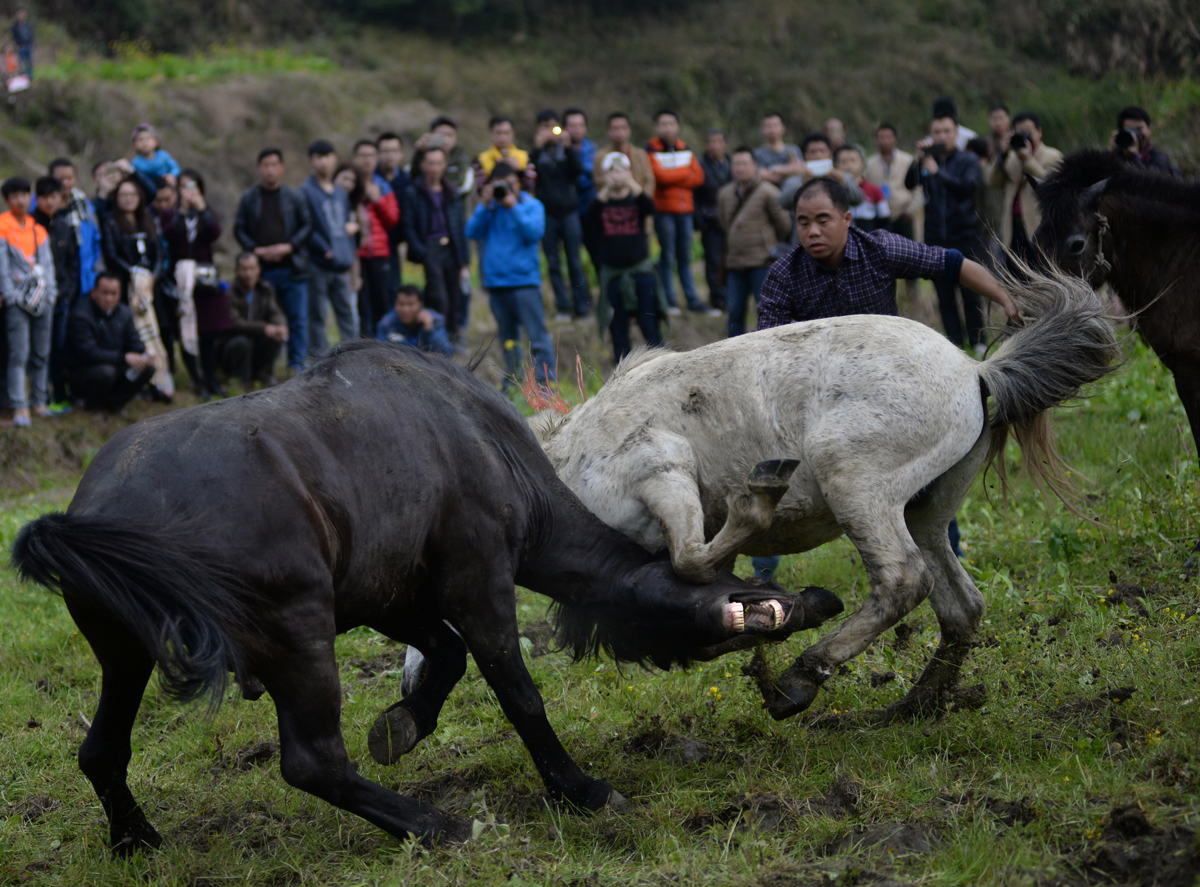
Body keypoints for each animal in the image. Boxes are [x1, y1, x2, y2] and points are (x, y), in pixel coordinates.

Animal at [9, 340, 840, 854]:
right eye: (736, 587)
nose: (815, 600)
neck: (493, 452)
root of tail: (97, 511)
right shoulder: (477, 576)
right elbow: (516, 689)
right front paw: (579, 787)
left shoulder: (389, 592)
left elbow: (442, 656)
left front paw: (404, 721)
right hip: (296, 634)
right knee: (311, 761)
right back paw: (439, 825)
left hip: (125, 654)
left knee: (100, 748)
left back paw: (133, 837)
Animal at [405, 270, 1113, 720]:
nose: (415, 674)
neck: (563, 460)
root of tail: (974, 369)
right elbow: (712, 597)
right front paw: (769, 630)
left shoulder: (662, 470)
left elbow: (694, 558)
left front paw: (761, 503)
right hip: (926, 509)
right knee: (960, 604)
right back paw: (913, 705)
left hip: (854, 480)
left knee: (902, 580)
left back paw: (807, 676)